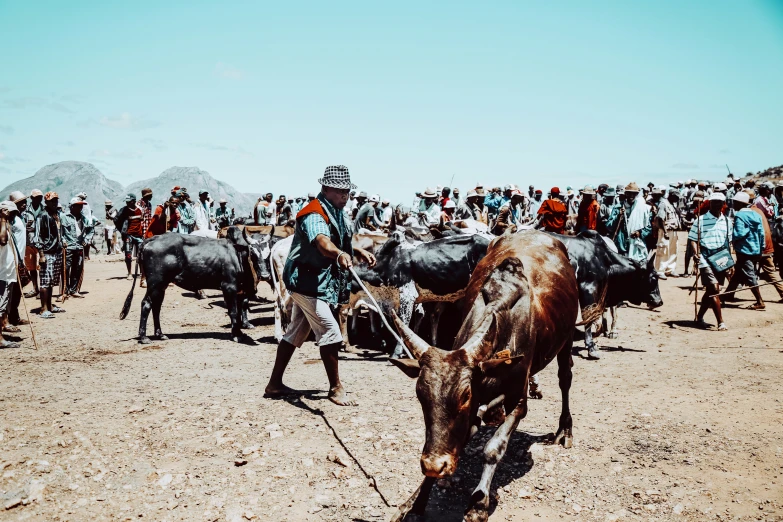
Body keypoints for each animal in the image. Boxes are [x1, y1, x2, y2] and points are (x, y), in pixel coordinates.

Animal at [129, 226, 272, 342]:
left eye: (269, 253)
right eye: (252, 252)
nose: (265, 275)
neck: (237, 255)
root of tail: (152, 239)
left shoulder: (240, 291)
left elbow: (239, 311)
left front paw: (240, 331)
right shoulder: (229, 287)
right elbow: (233, 312)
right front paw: (236, 335)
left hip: (161, 286)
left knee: (156, 306)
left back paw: (160, 334)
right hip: (155, 283)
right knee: (146, 304)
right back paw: (144, 337)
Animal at [388, 232, 580, 520]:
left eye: (465, 395)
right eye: (420, 395)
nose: (433, 464)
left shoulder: (517, 401)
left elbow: (493, 449)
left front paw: (479, 503)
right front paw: (414, 503)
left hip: (566, 339)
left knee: (564, 377)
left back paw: (564, 429)